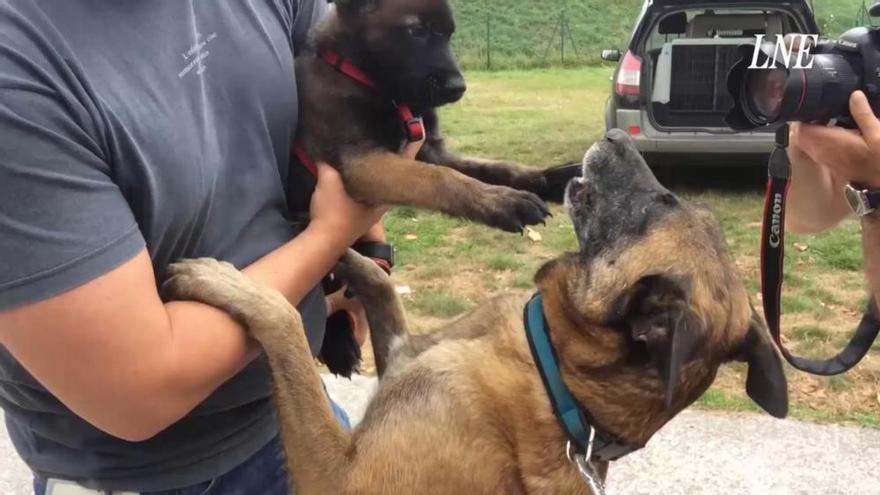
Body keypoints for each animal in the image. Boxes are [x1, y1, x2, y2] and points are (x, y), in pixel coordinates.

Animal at [165, 130, 792, 494]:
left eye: (664, 199)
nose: (615, 133)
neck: (555, 374)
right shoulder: (400, 351)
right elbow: (377, 278)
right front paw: (331, 243)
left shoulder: (337, 478)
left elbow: (287, 329)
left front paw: (227, 283)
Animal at [292, 0, 564, 232]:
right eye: (417, 30)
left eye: (449, 34)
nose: (458, 87)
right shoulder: (360, 161)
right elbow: (439, 176)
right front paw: (501, 200)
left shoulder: (433, 151)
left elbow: (492, 167)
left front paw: (548, 178)